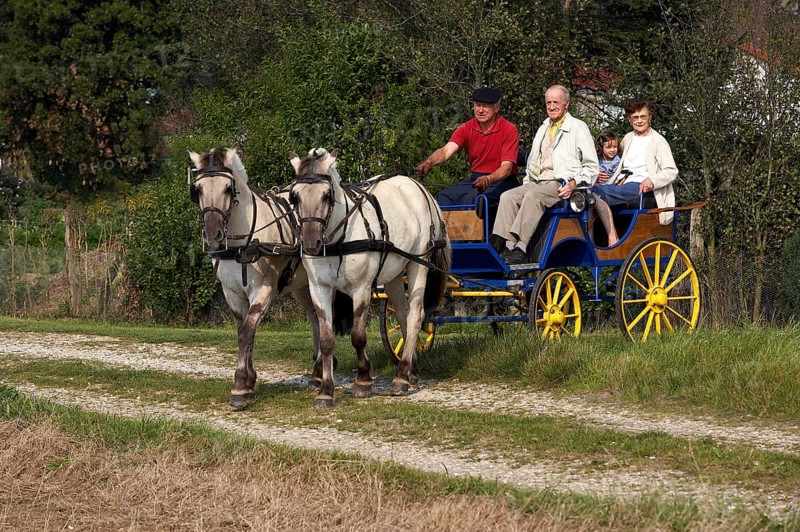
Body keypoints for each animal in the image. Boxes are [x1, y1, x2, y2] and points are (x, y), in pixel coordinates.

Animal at [188, 147, 325, 410]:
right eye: (197, 189)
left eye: (228, 188)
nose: (212, 234)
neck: (242, 242)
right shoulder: (232, 293)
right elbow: (242, 330)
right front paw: (249, 381)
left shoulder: (263, 289)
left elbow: (248, 331)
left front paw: (241, 386)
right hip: (302, 286)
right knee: (315, 317)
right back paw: (317, 373)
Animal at [288, 148, 451, 408]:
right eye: (295, 196)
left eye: (327, 195)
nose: (311, 243)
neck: (338, 239)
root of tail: (419, 187)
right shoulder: (319, 288)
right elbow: (326, 339)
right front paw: (325, 391)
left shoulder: (361, 289)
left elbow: (358, 336)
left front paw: (363, 381)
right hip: (394, 274)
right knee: (403, 315)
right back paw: (411, 372)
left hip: (418, 264)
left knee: (415, 315)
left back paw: (401, 378)